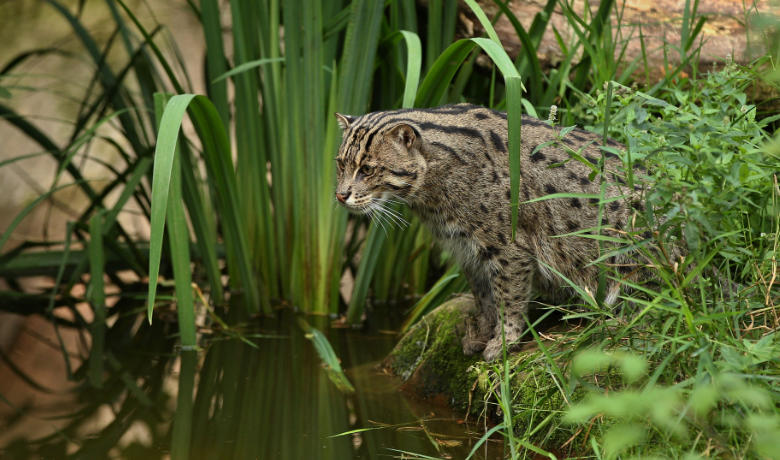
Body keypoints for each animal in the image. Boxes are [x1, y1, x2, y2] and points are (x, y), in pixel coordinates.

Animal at [336, 103, 640, 360]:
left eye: (367, 169)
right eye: (340, 164)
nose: (339, 195)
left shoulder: (509, 248)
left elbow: (508, 297)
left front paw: (504, 341)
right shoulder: (466, 249)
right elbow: (483, 297)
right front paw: (483, 334)